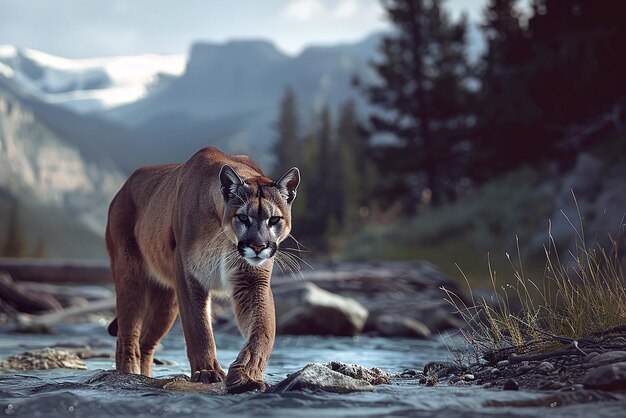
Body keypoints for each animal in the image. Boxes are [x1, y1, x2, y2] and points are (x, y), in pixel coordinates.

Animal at [105, 146, 300, 392]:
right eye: (242, 217)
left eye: (274, 219)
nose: (258, 246)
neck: (225, 236)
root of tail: (123, 188)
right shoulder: (189, 275)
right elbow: (198, 326)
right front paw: (207, 372)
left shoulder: (253, 281)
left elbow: (263, 330)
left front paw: (247, 375)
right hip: (131, 277)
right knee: (127, 336)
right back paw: (128, 375)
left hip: (166, 302)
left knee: (146, 343)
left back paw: (145, 377)